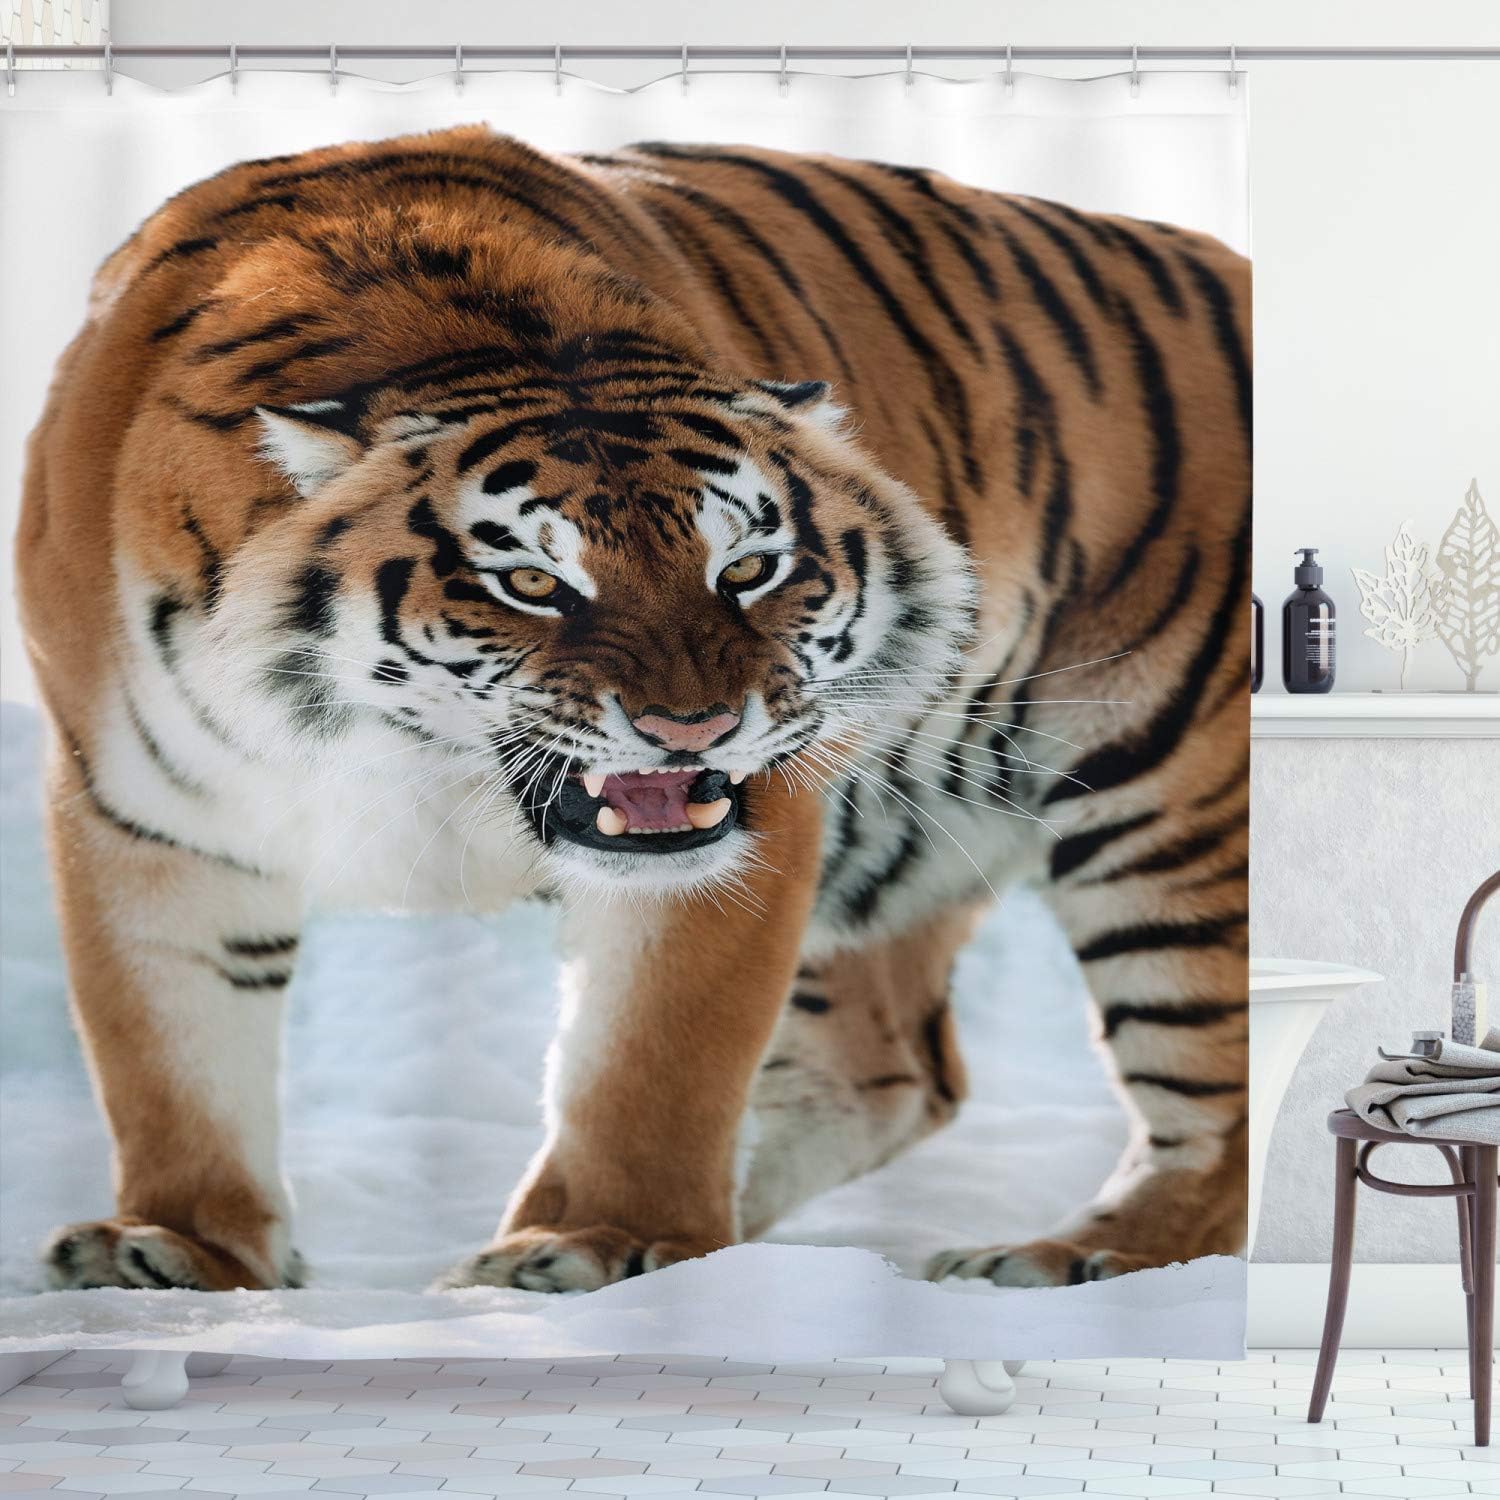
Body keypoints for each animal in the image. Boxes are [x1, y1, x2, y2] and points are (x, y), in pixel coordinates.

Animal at [17, 125, 1249, 1296]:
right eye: (530, 582)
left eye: (747, 568)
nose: (695, 728)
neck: (388, 755)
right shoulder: (142, 810)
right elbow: (169, 1050)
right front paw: (178, 1245)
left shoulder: (744, 835)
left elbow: (654, 1058)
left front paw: (601, 1241)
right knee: (895, 1068)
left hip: (1174, 810)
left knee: (1213, 1125)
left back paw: (1069, 1258)